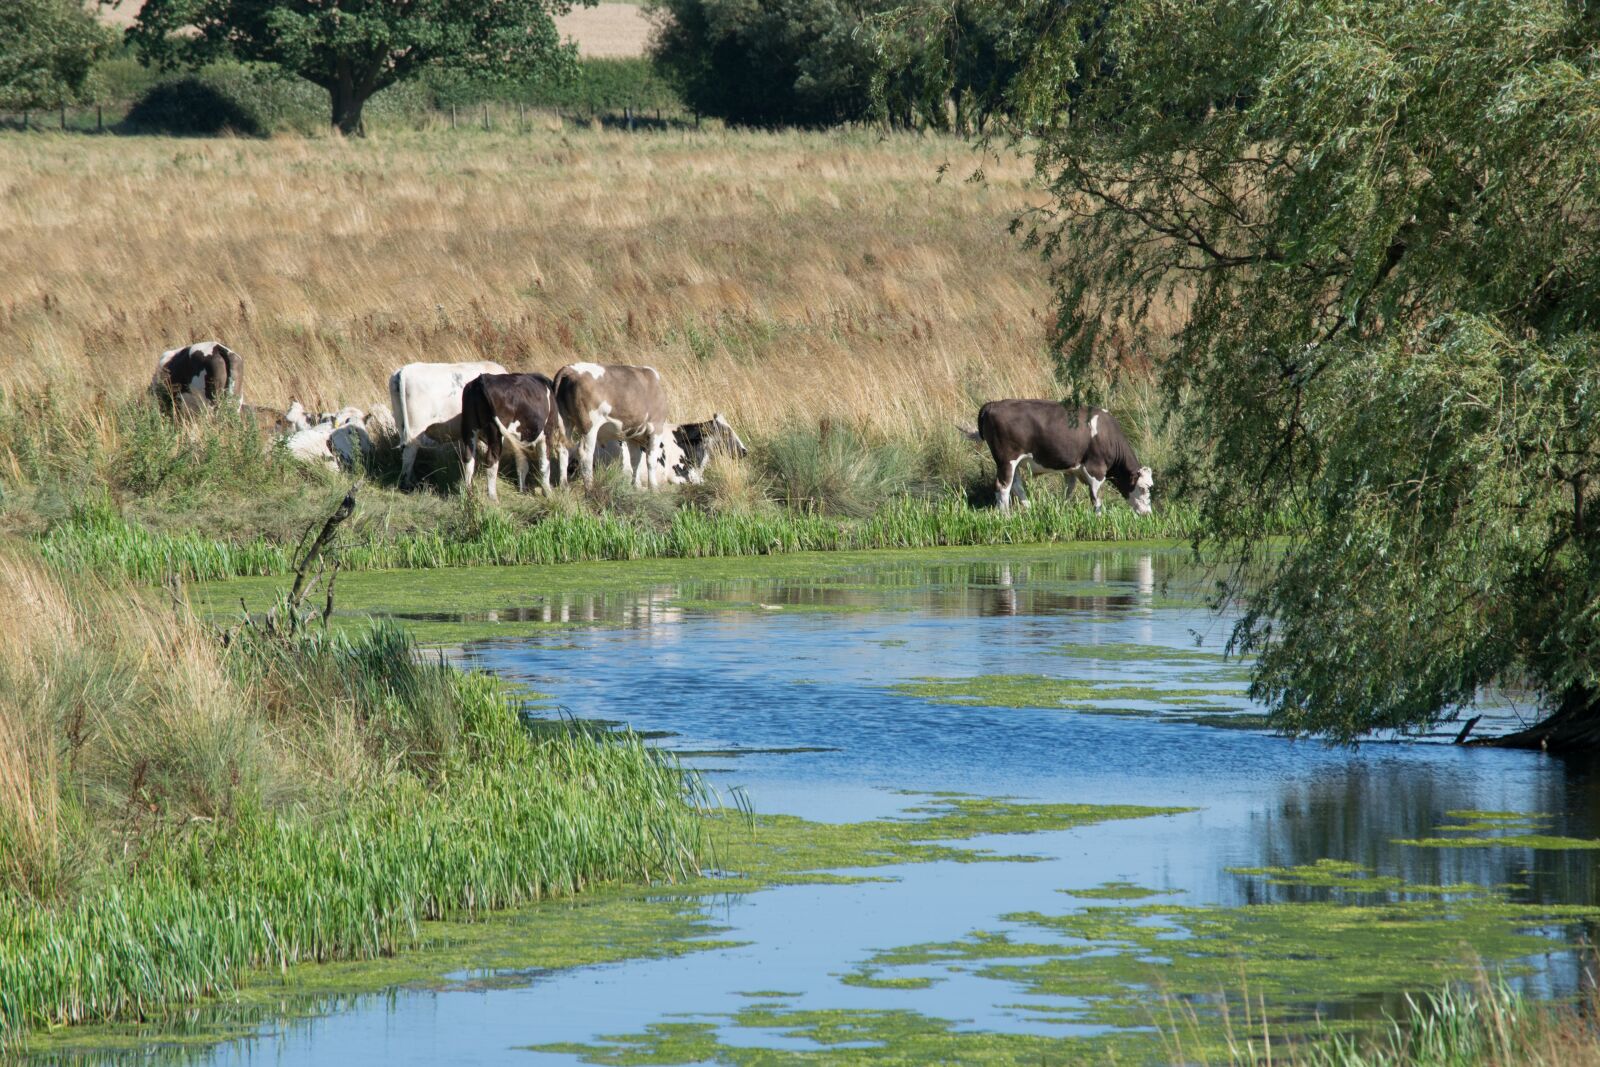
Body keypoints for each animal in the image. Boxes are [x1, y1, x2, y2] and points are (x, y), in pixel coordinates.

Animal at [458, 372, 557, 501]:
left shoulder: (518, 441)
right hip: (496, 432)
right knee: (491, 460)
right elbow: (545, 463)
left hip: (469, 428)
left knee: (468, 458)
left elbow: (522, 465)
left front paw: (522, 491)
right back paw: (493, 498)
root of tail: (482, 378)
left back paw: (469, 494)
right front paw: (548, 493)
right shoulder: (547, 433)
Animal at [975, 400, 1153, 515]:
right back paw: (1006, 516)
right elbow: (1096, 499)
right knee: (1003, 487)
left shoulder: (1072, 469)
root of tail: (993, 404)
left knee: (1016, 485)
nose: (1148, 513)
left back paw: (1030, 508)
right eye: (1143, 488)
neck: (1107, 434)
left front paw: (1062, 510)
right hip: (1007, 459)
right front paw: (1098, 518)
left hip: (1013, 463)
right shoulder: (1095, 470)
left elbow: (1068, 491)